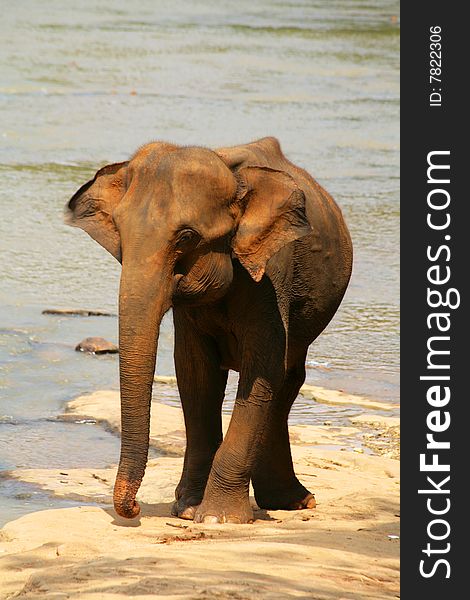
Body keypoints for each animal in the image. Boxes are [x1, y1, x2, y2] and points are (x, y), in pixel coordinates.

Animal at [66, 138, 352, 524]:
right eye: (120, 233)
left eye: (187, 237)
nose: (134, 508)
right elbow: (196, 374)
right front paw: (188, 509)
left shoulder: (271, 275)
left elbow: (261, 371)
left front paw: (218, 518)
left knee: (288, 378)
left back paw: (292, 502)